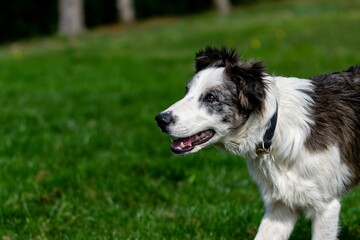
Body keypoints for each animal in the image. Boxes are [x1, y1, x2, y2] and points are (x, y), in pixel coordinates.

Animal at [155, 47, 360, 240]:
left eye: (211, 97)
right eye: (186, 91)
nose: (160, 119)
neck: (272, 127)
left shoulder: (325, 206)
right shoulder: (282, 205)